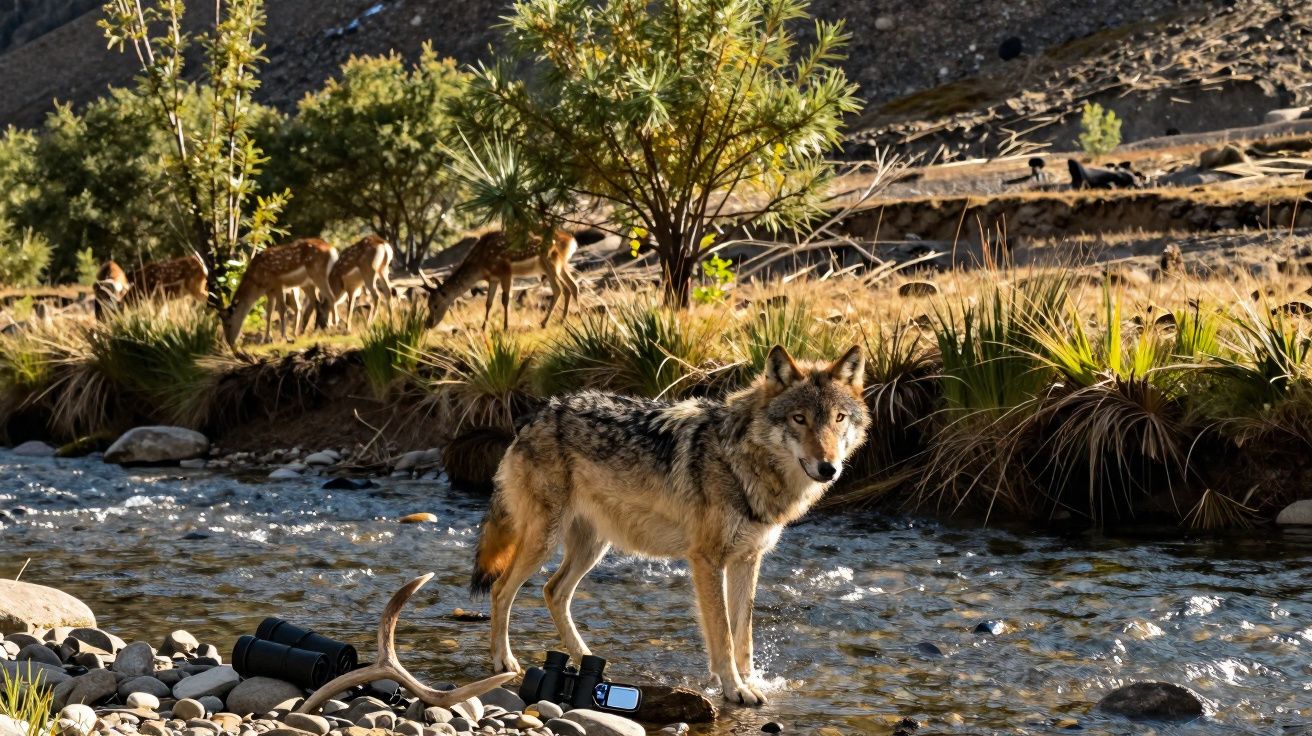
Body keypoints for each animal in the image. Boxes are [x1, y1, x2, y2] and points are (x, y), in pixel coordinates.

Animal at [469, 344, 869, 705]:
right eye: (799, 419)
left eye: (838, 418)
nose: (828, 468)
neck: (741, 461)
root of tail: (536, 414)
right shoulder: (707, 560)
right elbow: (723, 635)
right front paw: (735, 689)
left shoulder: (747, 559)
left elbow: (744, 635)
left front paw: (752, 681)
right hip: (545, 541)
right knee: (502, 589)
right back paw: (503, 661)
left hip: (592, 548)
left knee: (553, 591)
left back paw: (587, 660)